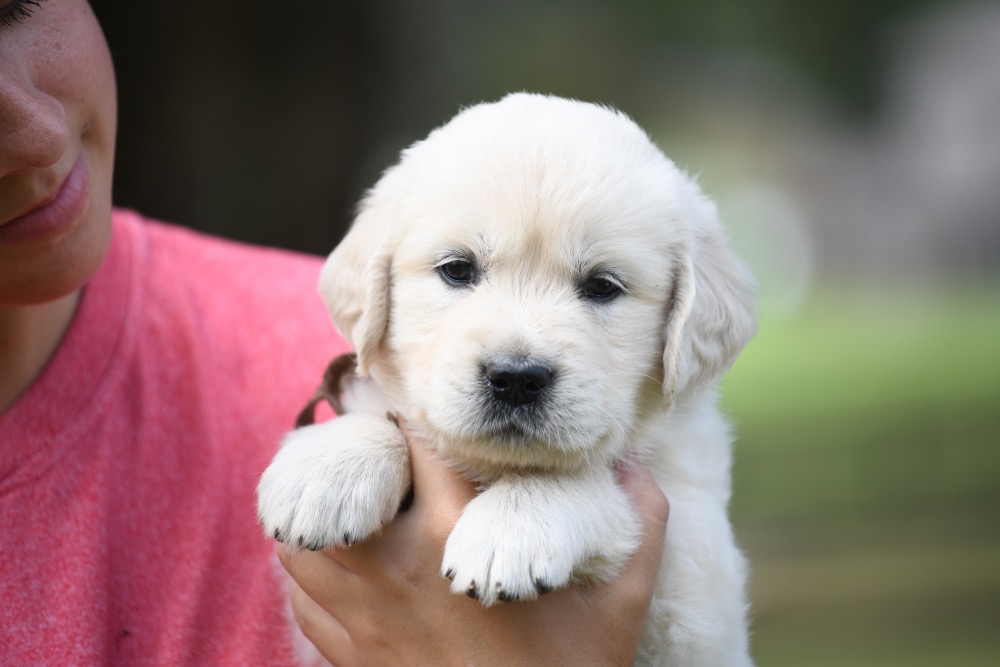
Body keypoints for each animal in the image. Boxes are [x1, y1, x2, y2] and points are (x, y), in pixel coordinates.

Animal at [258, 91, 756, 664]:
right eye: (457, 269)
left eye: (603, 286)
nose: (516, 378)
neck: (492, 468)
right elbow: (382, 413)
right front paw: (327, 468)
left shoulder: (689, 571)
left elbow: (585, 476)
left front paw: (514, 528)